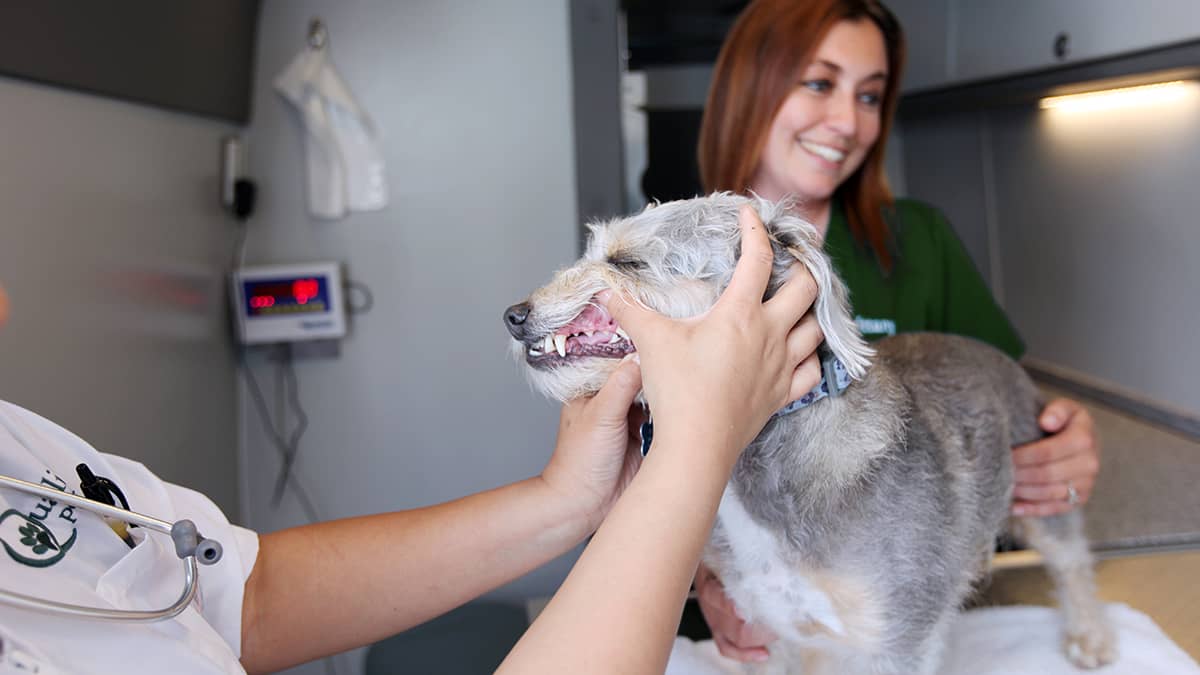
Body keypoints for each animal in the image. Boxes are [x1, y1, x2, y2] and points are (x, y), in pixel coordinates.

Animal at [499, 192, 1113, 667]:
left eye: (628, 262)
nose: (513, 315)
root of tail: (999, 355)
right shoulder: (787, 634)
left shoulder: (899, 641)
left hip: (1044, 501)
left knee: (1073, 562)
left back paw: (1090, 636)